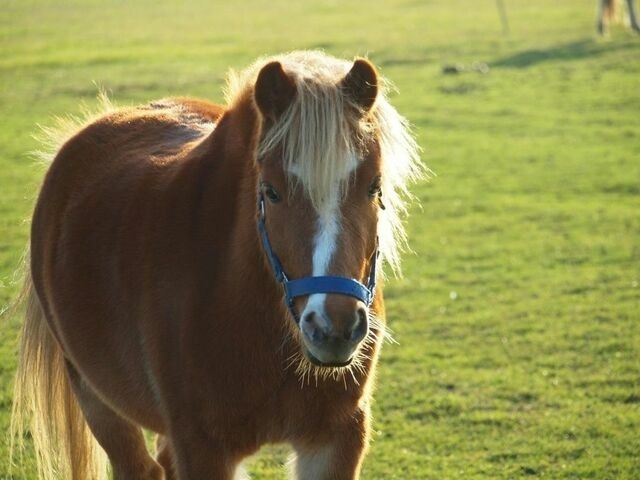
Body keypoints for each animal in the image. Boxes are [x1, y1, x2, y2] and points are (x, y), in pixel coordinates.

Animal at [11, 49, 424, 480]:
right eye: (271, 192)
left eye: (374, 187)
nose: (333, 327)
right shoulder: (202, 447)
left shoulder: (335, 439)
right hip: (96, 398)